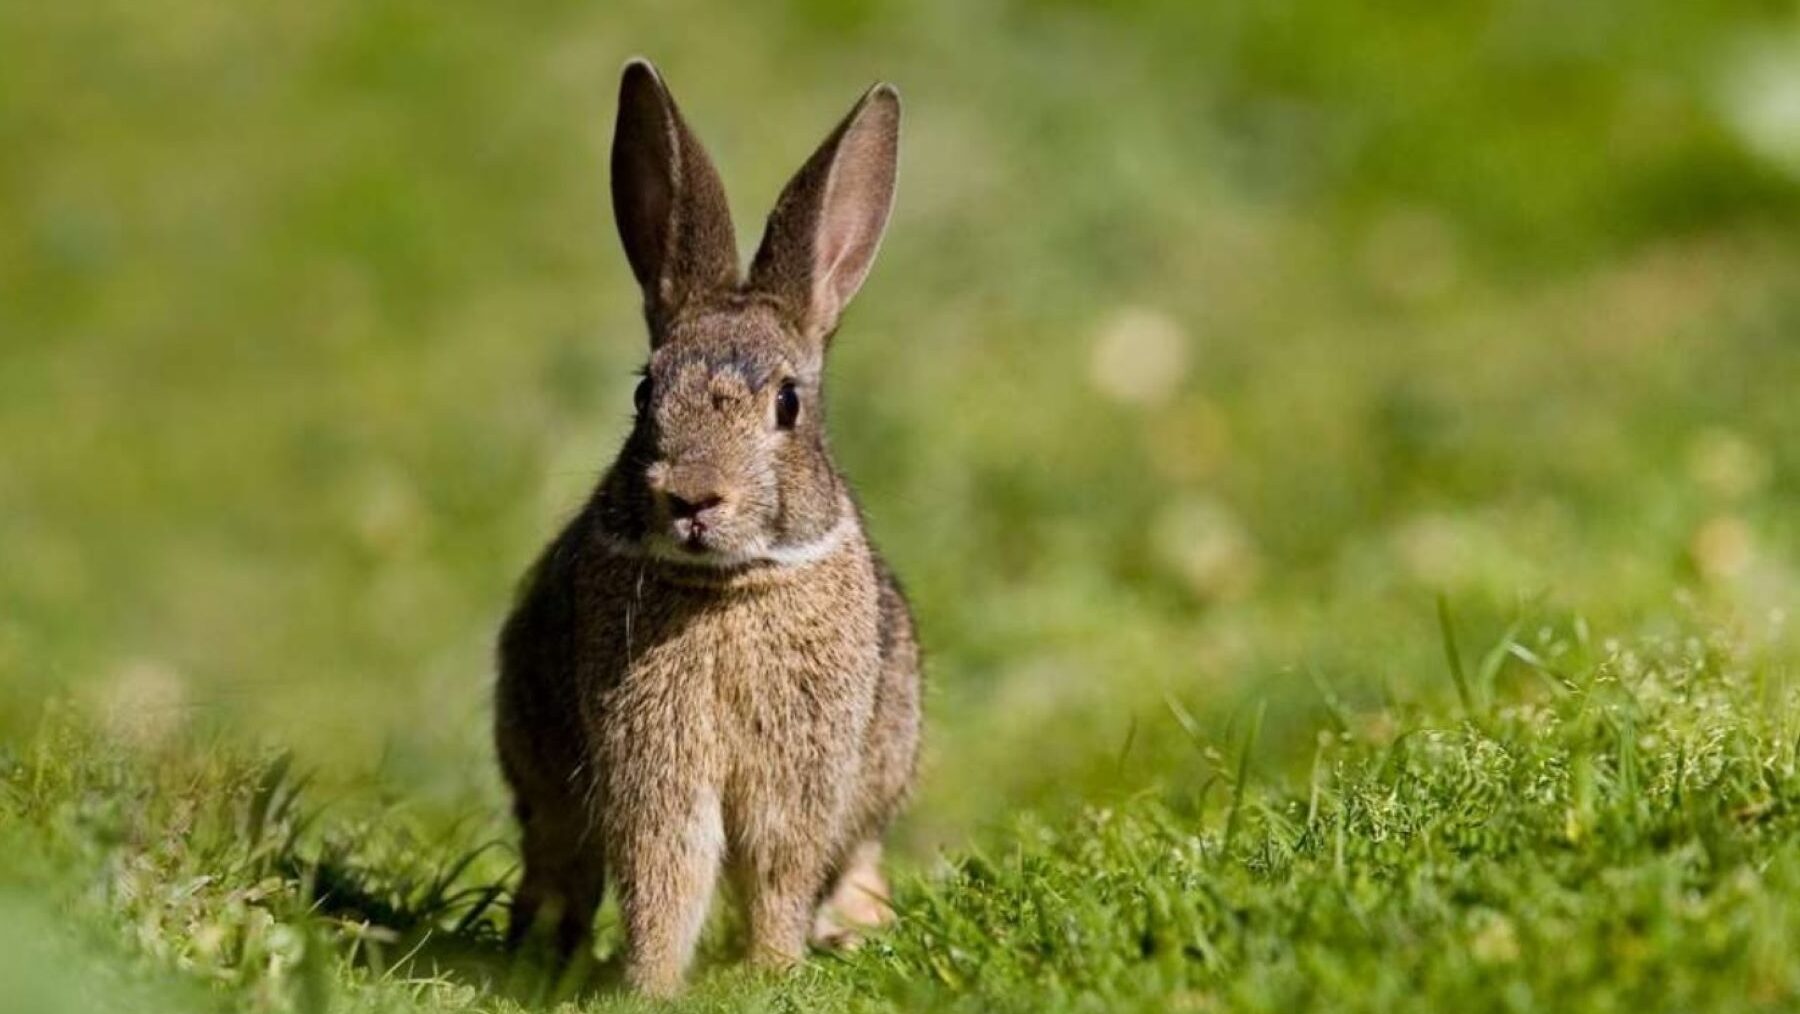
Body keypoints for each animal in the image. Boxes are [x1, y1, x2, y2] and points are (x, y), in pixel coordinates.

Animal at [493, 57, 921, 1001]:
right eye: (644, 392)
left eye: (788, 404)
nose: (693, 498)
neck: (726, 587)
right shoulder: (651, 769)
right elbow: (665, 870)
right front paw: (651, 986)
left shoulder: (802, 777)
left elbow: (778, 871)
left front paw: (772, 970)